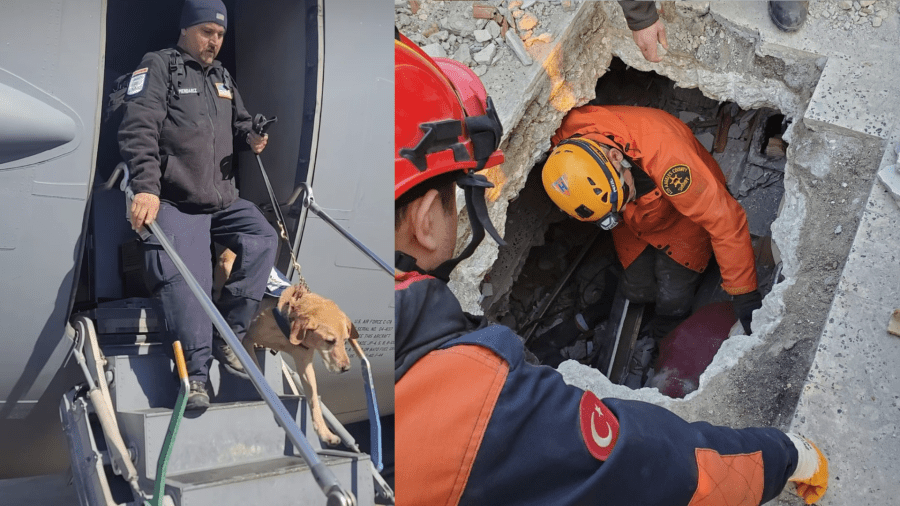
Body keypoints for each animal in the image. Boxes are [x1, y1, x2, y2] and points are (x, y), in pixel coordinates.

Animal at [216, 248, 354, 442]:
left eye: (345, 340)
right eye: (329, 341)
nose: (346, 368)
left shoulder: (305, 364)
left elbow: (314, 398)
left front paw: (324, 432)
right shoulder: (246, 339)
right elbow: (257, 370)